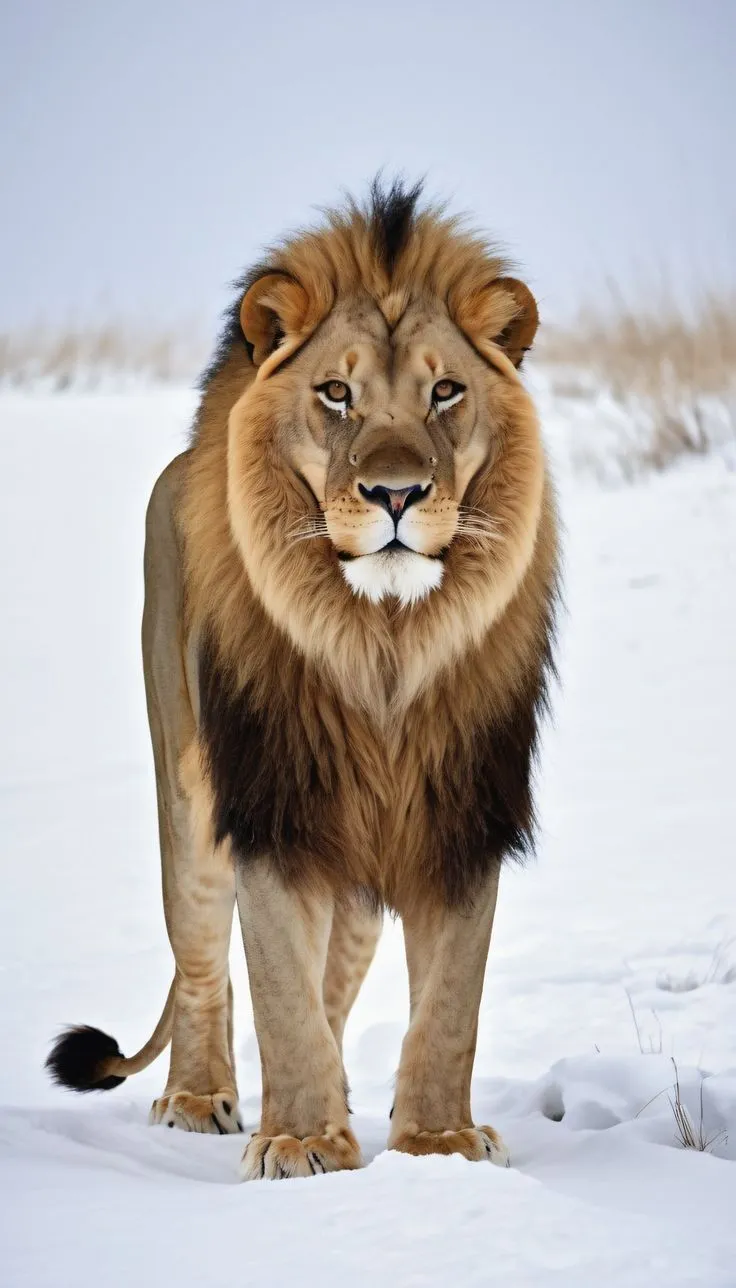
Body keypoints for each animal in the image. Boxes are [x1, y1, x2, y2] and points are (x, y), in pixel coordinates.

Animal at [46, 179, 559, 1179]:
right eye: (336, 393)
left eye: (446, 391)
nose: (396, 494)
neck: (384, 641)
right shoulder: (273, 803)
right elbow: (275, 982)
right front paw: (300, 1142)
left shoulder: (460, 810)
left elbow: (447, 1007)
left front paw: (436, 1142)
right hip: (190, 797)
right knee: (205, 961)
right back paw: (199, 1099)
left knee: (335, 978)